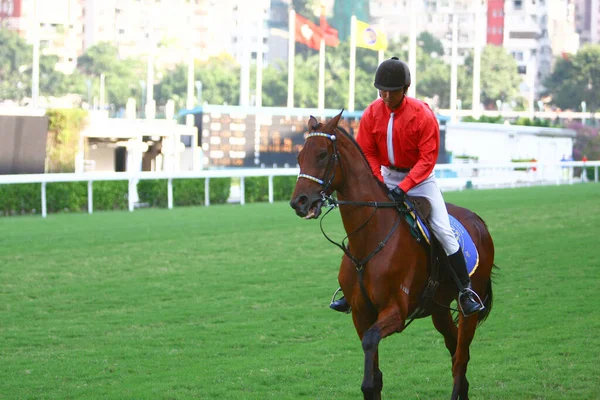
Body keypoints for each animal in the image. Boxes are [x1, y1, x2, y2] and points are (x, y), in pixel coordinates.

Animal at [288, 111, 494, 400]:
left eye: (322, 155)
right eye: (299, 157)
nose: (300, 202)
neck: (369, 239)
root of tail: (479, 221)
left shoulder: (396, 312)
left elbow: (370, 343)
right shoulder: (361, 313)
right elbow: (373, 375)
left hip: (469, 311)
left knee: (460, 359)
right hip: (439, 309)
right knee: (454, 349)